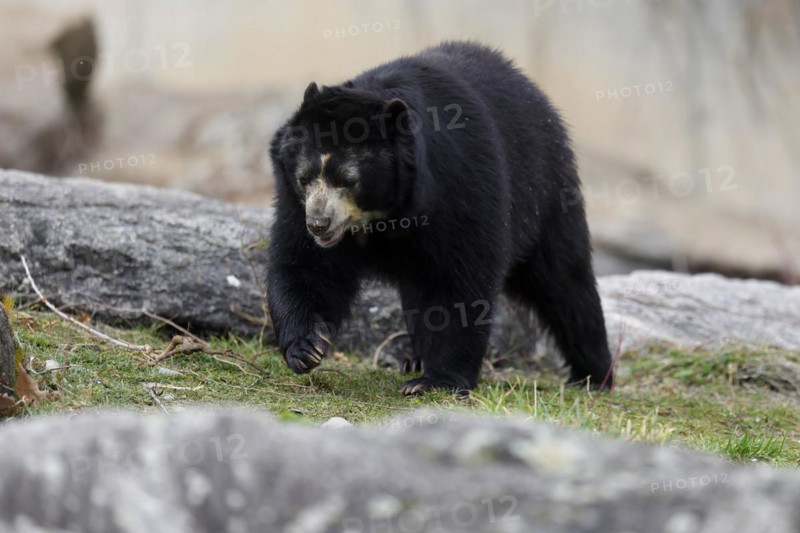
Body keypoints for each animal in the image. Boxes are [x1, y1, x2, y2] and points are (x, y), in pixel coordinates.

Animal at [266, 41, 613, 395]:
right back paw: (415, 359)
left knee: (564, 281)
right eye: (304, 178)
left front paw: (436, 381)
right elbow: (307, 264)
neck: (384, 216)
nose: (318, 224)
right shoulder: (296, 204)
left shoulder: (458, 184)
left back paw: (593, 376)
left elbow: (461, 280)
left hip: (545, 190)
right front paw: (307, 347)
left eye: (347, 180)